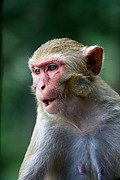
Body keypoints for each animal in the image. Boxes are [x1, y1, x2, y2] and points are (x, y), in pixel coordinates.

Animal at [17, 38, 120, 180]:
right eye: (37, 71)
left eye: (52, 67)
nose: (41, 87)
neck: (80, 116)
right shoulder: (47, 125)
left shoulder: (115, 115)